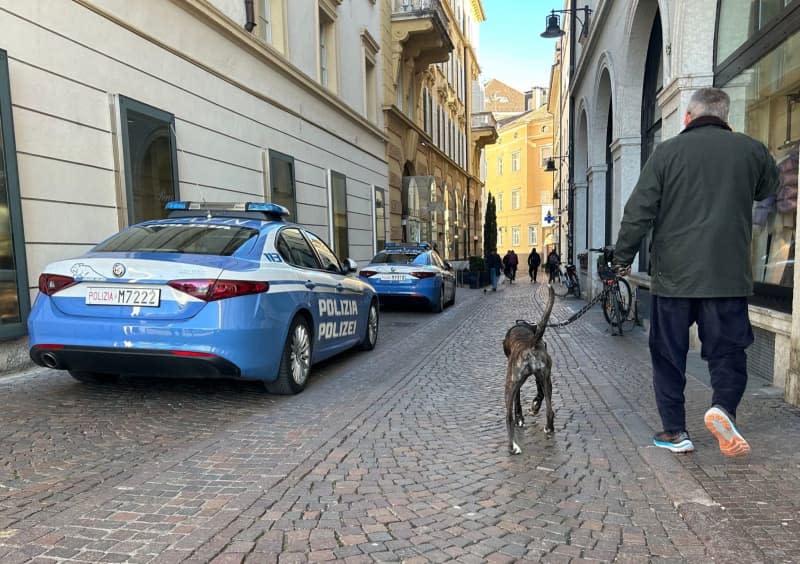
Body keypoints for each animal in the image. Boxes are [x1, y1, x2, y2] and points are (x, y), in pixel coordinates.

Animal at [504, 286, 552, 454]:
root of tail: (532, 343)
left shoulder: (515, 382)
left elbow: (517, 402)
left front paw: (520, 418)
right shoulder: (540, 377)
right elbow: (539, 394)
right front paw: (534, 407)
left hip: (510, 383)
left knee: (508, 416)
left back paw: (513, 447)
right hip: (546, 378)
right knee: (550, 410)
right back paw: (549, 428)